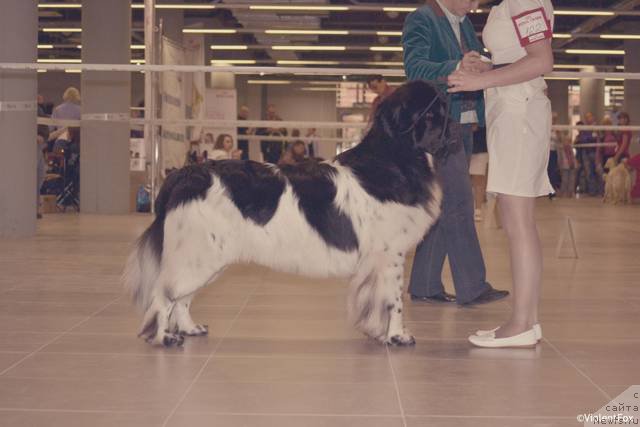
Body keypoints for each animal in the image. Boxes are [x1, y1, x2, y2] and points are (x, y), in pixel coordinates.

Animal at [122, 80, 458, 348]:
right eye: (431, 115)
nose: (458, 133)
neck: (393, 159)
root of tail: (186, 174)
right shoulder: (388, 255)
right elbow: (394, 300)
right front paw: (398, 336)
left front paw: (380, 333)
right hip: (198, 254)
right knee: (163, 295)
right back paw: (164, 338)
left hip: (207, 256)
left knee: (181, 297)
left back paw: (190, 329)